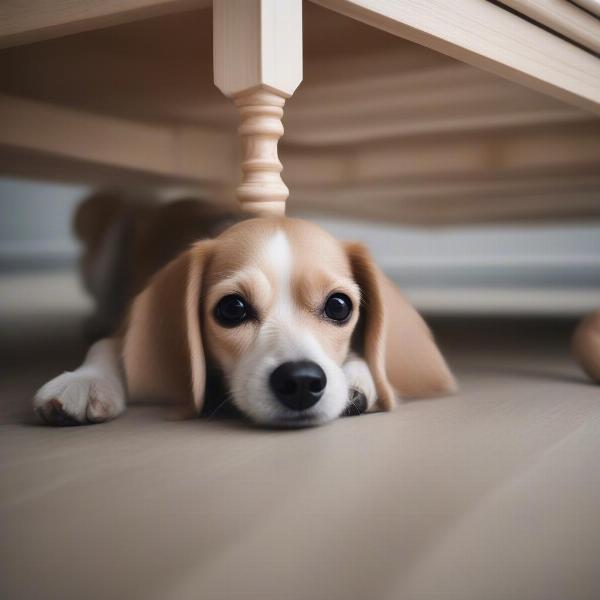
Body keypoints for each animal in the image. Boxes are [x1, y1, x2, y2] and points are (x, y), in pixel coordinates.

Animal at [34, 193, 454, 426]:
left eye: (339, 306)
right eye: (232, 308)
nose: (301, 382)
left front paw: (357, 374)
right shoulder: (126, 327)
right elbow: (107, 345)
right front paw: (83, 381)